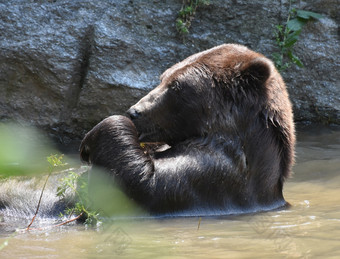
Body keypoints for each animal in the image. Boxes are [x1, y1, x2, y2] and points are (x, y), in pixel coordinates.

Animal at [79, 43, 294, 216]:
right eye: (163, 78)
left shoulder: (215, 174)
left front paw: (95, 136)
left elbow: (143, 186)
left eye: (176, 87)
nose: (134, 112)